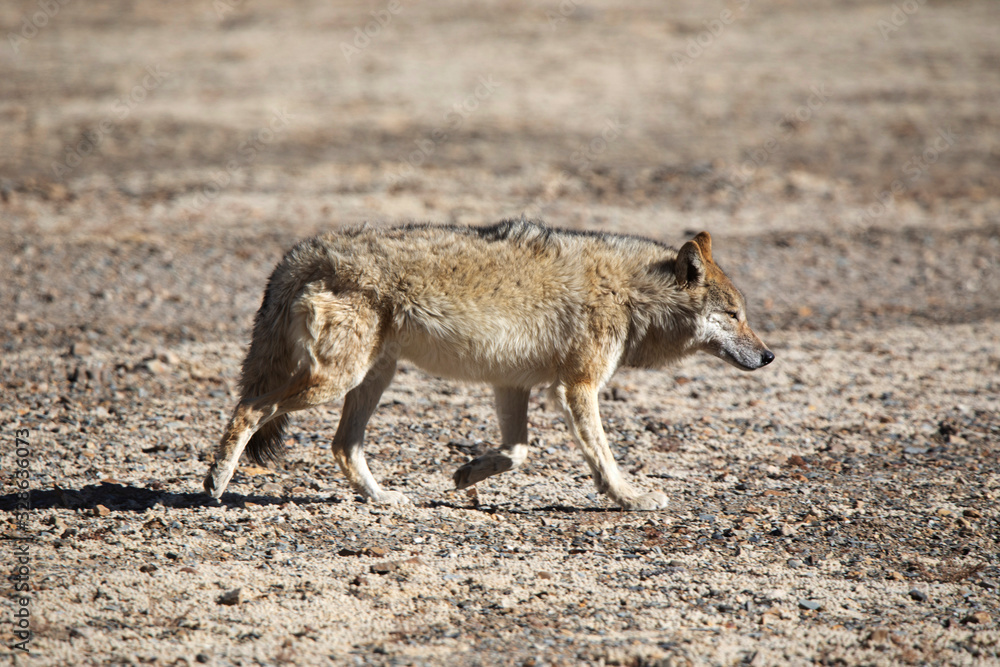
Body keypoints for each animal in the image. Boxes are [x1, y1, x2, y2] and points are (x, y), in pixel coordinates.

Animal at [203, 220, 774, 510]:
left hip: (372, 379)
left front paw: (467, 473)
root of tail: (300, 252)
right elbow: (603, 458)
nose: (768, 356)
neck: (631, 294)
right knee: (251, 408)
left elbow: (517, 452)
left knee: (341, 446)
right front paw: (630, 497)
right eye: (735, 316)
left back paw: (384, 497)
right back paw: (216, 482)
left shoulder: (513, 384)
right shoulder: (577, 387)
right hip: (338, 380)